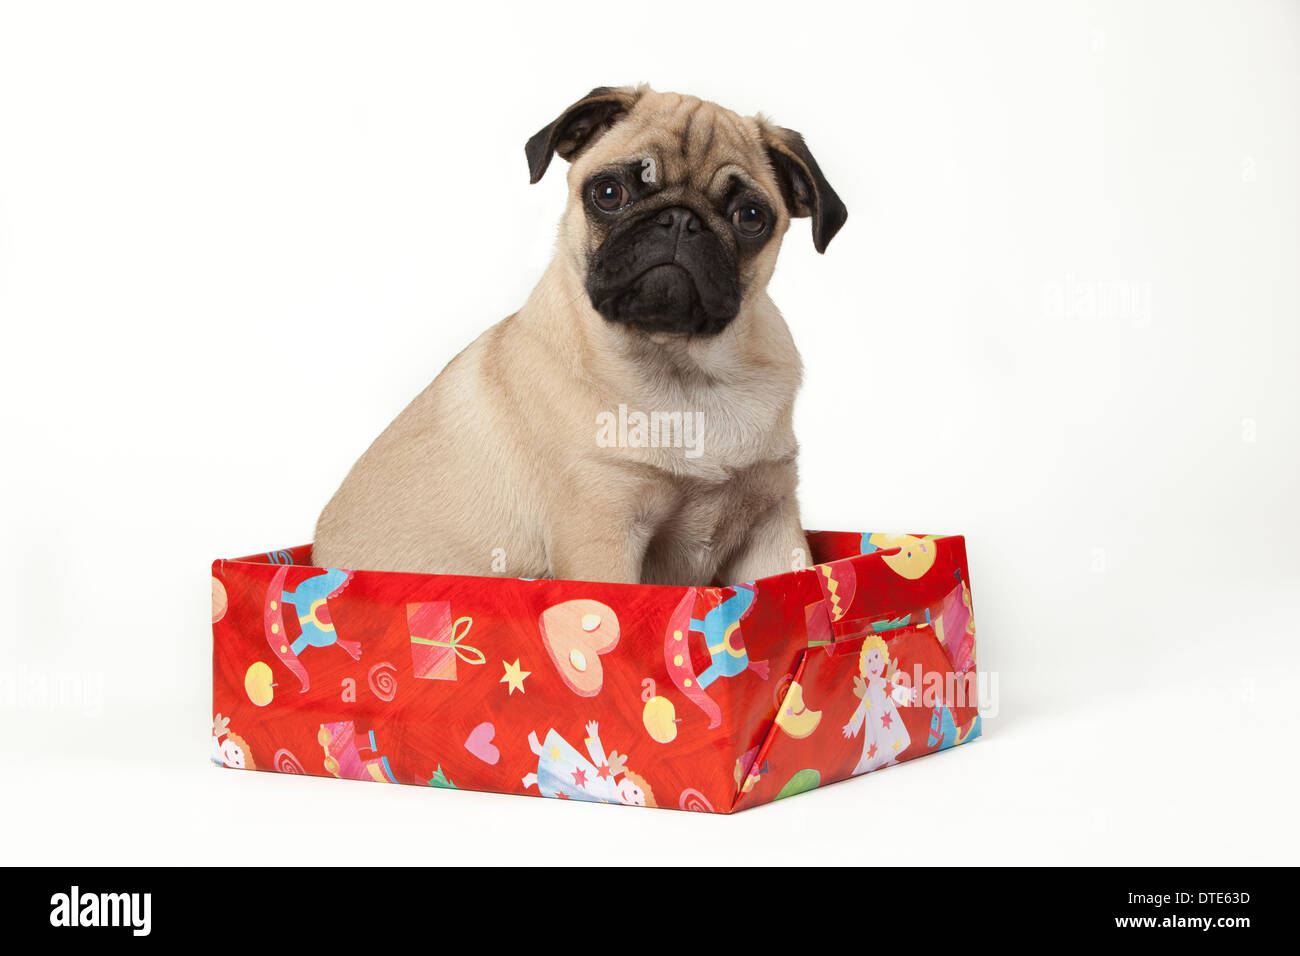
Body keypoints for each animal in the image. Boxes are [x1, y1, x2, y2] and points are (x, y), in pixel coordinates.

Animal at [310, 87, 847, 582]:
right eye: (609, 194)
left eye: (751, 218)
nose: (680, 220)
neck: (684, 368)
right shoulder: (602, 532)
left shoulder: (771, 527)